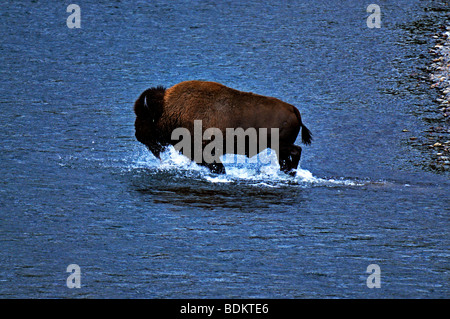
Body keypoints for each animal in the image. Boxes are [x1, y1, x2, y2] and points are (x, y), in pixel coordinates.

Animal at [132, 80, 312, 175]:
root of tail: (293, 109)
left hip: (281, 145)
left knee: (296, 151)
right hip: (279, 148)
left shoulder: (202, 150)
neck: (165, 109)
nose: (137, 134)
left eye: (143, 116)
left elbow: (214, 165)